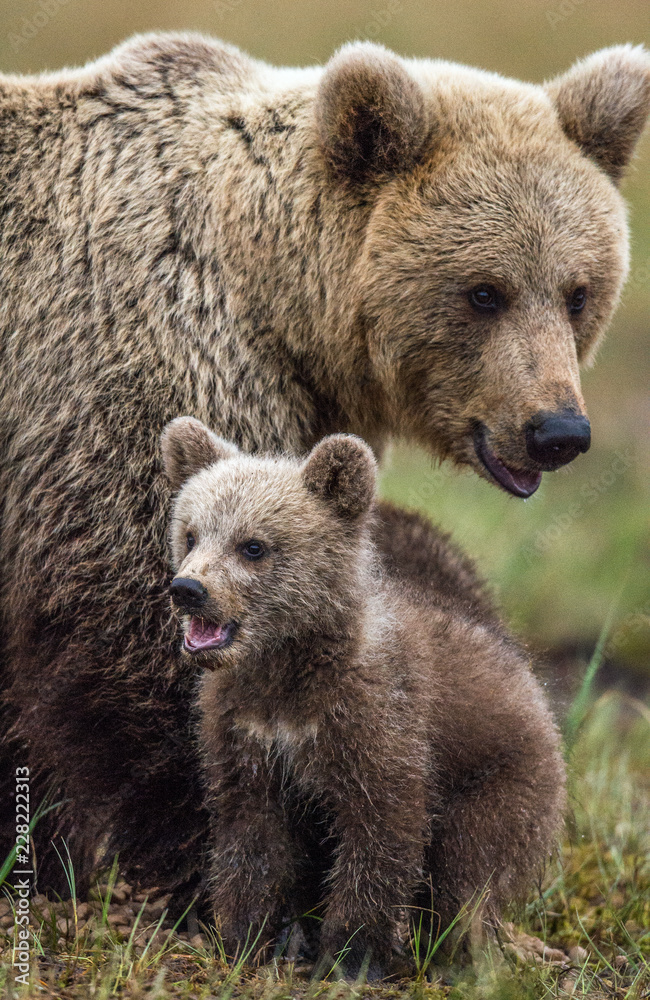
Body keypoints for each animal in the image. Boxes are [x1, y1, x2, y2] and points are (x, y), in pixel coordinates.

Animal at [0, 37, 644, 900]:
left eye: (578, 292)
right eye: (485, 291)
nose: (557, 430)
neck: (280, 312)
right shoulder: (129, 383)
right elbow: (140, 634)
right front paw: (176, 859)